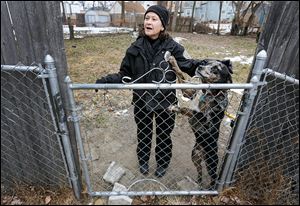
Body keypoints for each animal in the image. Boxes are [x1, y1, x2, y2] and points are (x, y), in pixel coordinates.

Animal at [168, 56, 233, 188]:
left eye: (216, 68)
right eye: (206, 62)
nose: (199, 66)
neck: (207, 93)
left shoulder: (205, 123)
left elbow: (190, 110)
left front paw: (176, 108)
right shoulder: (189, 93)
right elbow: (181, 76)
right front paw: (173, 62)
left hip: (211, 163)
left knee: (213, 177)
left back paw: (209, 188)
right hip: (195, 156)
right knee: (200, 171)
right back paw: (198, 182)